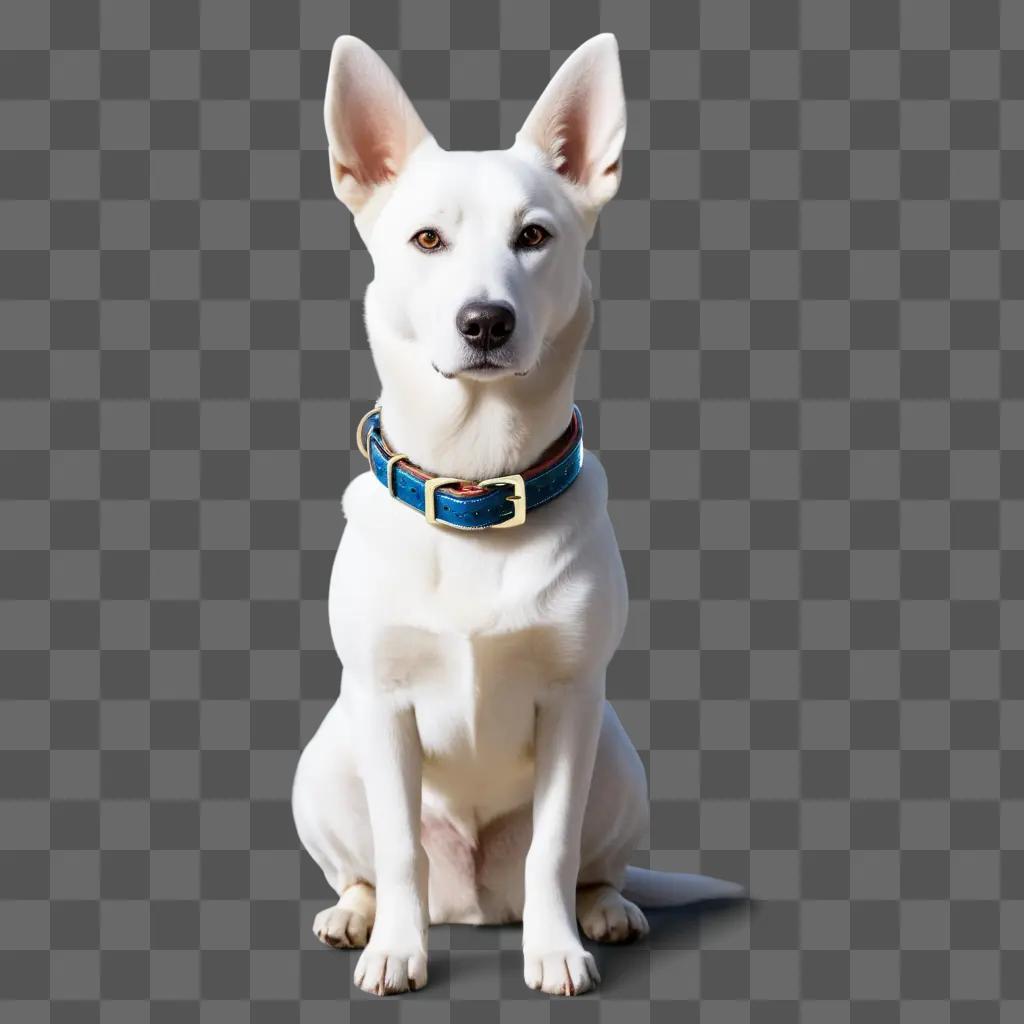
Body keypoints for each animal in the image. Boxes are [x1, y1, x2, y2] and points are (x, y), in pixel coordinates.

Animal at [292, 34, 741, 999]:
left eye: (533, 236)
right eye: (426, 239)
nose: (486, 322)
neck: (476, 487)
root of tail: (473, 903)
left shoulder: (570, 705)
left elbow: (553, 850)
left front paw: (557, 951)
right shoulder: (383, 705)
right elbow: (398, 851)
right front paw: (397, 950)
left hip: (617, 757)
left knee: (589, 863)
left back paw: (605, 910)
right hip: (326, 761)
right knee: (369, 866)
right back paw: (358, 915)